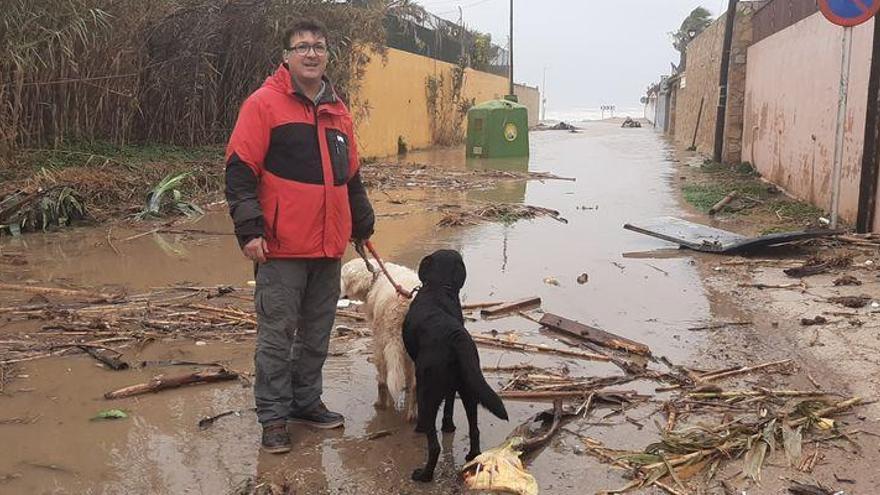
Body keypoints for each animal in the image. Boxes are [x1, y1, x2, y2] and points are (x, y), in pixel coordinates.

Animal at [338, 260, 422, 422]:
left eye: (342, 276)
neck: (376, 276)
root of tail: (405, 304)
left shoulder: (377, 338)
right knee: (416, 385)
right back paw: (413, 414)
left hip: (387, 341)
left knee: (385, 376)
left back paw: (383, 404)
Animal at [400, 250, 506, 482]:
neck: (439, 286)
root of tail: (455, 336)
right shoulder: (454, 386)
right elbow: (449, 405)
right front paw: (448, 426)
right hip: (469, 387)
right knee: (474, 429)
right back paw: (472, 456)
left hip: (427, 390)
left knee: (434, 445)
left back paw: (424, 475)